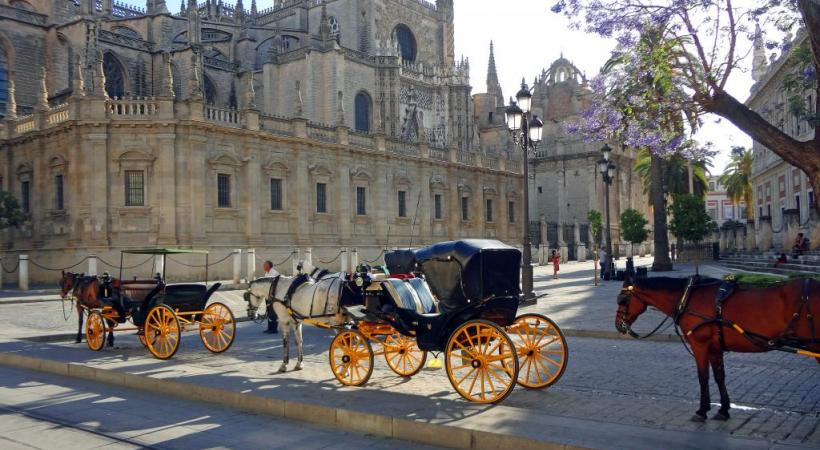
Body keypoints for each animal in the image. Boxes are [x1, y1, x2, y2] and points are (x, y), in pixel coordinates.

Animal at [620, 274, 816, 422]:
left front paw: (702, 410)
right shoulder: (715, 348)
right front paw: (723, 409)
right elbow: (719, 377)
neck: (688, 297)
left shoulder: (700, 345)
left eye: (622, 300)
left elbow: (703, 377)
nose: (618, 325)